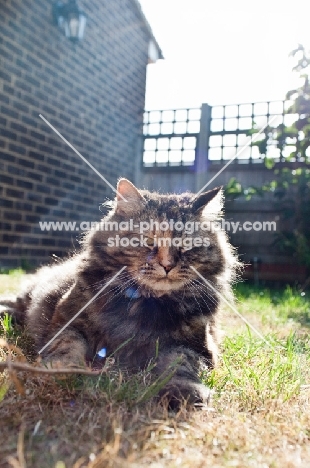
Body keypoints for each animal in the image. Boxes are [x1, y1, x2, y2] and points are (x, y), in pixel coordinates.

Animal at [0, 178, 239, 406]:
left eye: (187, 246)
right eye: (148, 241)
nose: (168, 265)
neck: (145, 303)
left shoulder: (195, 347)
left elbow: (181, 366)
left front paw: (186, 391)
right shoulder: (67, 323)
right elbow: (68, 347)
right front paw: (63, 371)